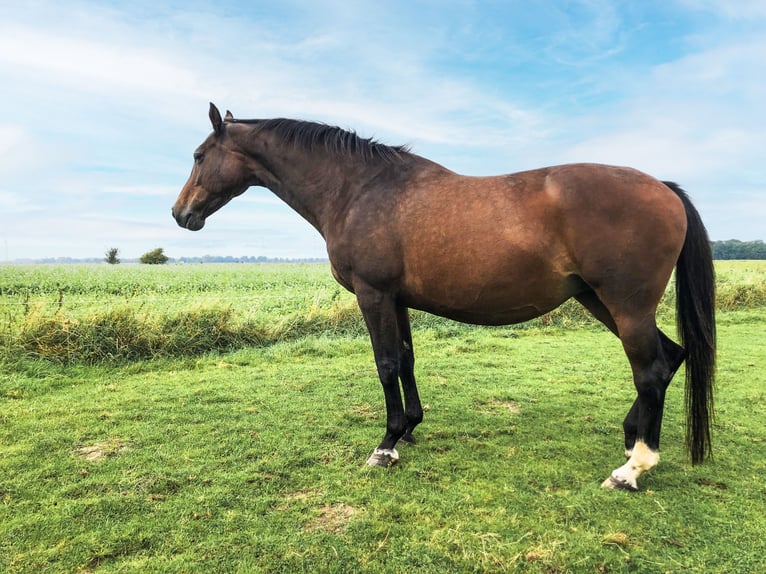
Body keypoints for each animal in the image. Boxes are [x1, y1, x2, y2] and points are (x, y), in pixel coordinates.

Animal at [171, 102, 716, 490]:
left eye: (198, 156)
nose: (180, 213)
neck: (359, 189)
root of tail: (664, 188)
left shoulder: (373, 295)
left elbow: (386, 363)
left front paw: (386, 445)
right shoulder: (397, 300)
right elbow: (407, 360)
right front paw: (411, 427)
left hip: (625, 305)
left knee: (650, 370)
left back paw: (632, 469)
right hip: (600, 302)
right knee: (670, 357)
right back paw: (630, 440)